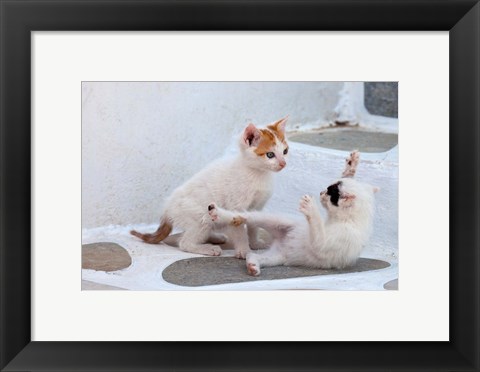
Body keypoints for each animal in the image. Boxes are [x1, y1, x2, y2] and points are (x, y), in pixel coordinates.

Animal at [130, 116, 288, 258]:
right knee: (184, 243)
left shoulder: (257, 206)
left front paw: (255, 244)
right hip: (201, 216)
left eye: (285, 151)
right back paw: (208, 248)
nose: (283, 163)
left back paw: (215, 237)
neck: (258, 174)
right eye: (270, 154)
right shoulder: (236, 206)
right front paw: (244, 251)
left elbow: (253, 225)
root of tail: (167, 209)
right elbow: (239, 231)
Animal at [208, 151, 376, 276]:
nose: (321, 192)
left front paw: (310, 207)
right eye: (328, 188)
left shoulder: (327, 244)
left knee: (254, 255)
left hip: (276, 257)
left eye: (329, 192)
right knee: (247, 217)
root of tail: (280, 241)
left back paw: (252, 265)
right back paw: (223, 215)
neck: (348, 220)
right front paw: (351, 166)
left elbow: (318, 234)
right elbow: (348, 177)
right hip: (276, 221)